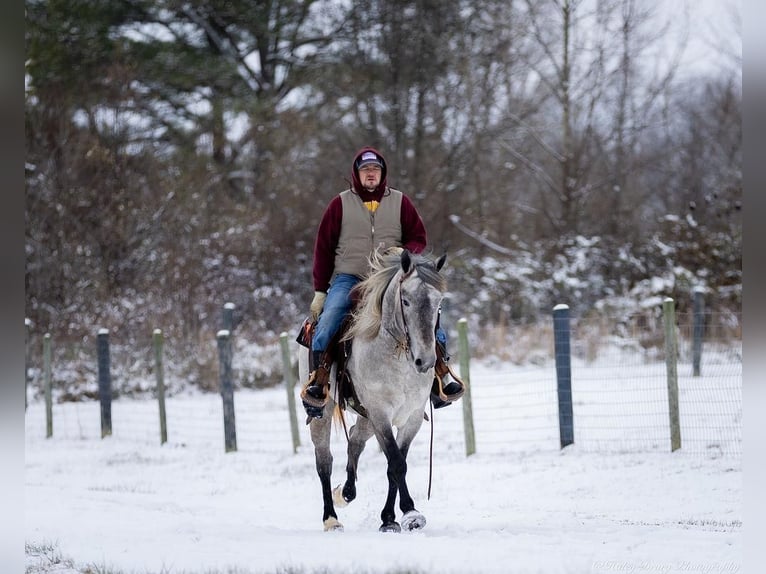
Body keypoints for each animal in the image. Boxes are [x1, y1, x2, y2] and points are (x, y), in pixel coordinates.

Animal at [308, 252, 448, 536]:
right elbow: (396, 462)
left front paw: (390, 519)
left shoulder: (411, 417)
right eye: (406, 300)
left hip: (366, 417)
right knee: (324, 461)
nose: (425, 361)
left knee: (355, 440)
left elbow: (395, 462)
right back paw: (331, 518)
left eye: (438, 302)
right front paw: (411, 513)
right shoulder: (381, 414)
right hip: (324, 414)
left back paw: (347, 492)